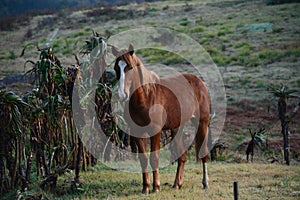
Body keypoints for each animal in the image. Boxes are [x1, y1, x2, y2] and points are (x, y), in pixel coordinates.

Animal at [111, 44, 210, 194]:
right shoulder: (137, 132)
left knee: (203, 153)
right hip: (177, 128)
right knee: (182, 156)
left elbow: (154, 158)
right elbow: (143, 159)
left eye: (130, 67)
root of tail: (199, 82)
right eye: (116, 68)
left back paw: (205, 183)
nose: (121, 95)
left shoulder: (155, 131)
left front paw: (156, 187)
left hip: (202, 123)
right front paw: (145, 187)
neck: (146, 97)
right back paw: (177, 184)